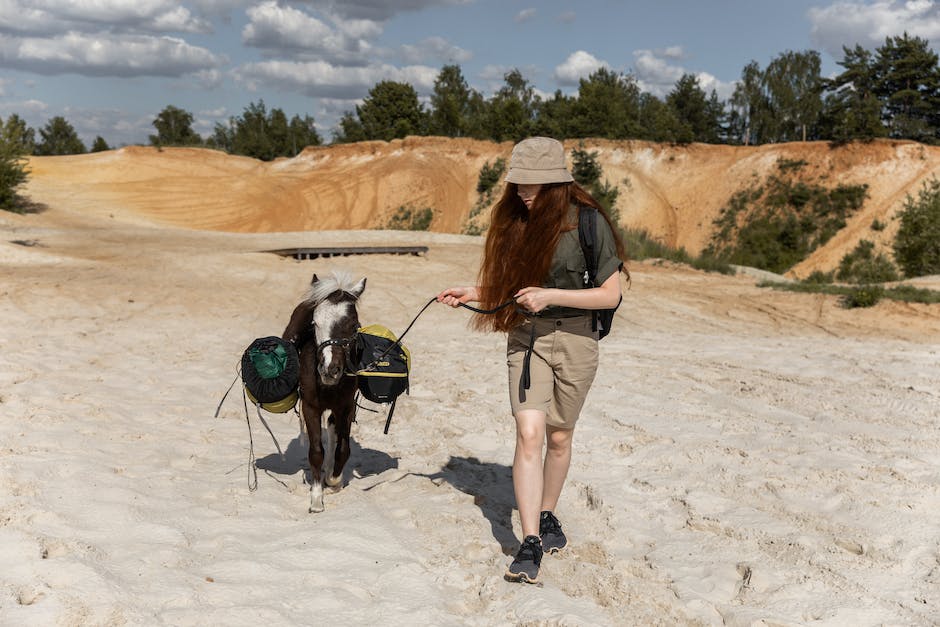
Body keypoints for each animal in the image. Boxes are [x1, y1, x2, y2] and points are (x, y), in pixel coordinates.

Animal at [280, 272, 366, 512]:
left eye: (354, 325)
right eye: (315, 323)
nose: (329, 369)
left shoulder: (346, 406)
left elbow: (343, 449)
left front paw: (334, 480)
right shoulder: (311, 407)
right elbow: (316, 451)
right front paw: (317, 499)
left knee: (333, 429)